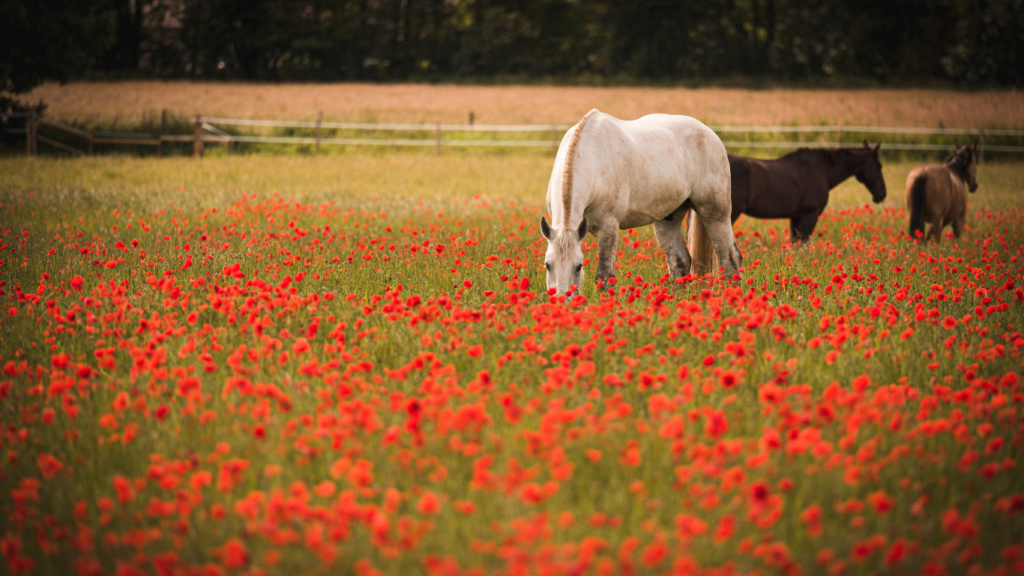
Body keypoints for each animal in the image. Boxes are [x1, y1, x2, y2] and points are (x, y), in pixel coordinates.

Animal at [540, 109, 741, 293]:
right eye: (548, 264)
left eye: (578, 266)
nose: (562, 298)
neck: (593, 158)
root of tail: (710, 133)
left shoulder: (608, 228)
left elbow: (604, 276)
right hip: (668, 220)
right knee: (680, 261)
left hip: (715, 214)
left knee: (730, 257)